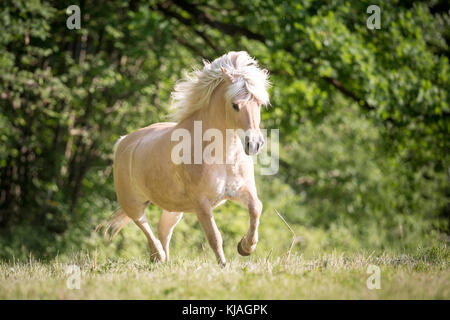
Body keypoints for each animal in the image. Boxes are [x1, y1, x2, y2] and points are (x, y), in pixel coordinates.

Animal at [97, 50, 270, 264]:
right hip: (133, 202)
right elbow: (214, 237)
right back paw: (158, 255)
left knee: (163, 230)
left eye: (260, 104)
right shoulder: (201, 204)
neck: (222, 155)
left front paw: (245, 247)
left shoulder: (242, 191)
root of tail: (123, 142)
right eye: (235, 105)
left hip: (173, 208)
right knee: (143, 224)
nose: (254, 144)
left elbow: (256, 208)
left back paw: (164, 262)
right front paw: (224, 265)